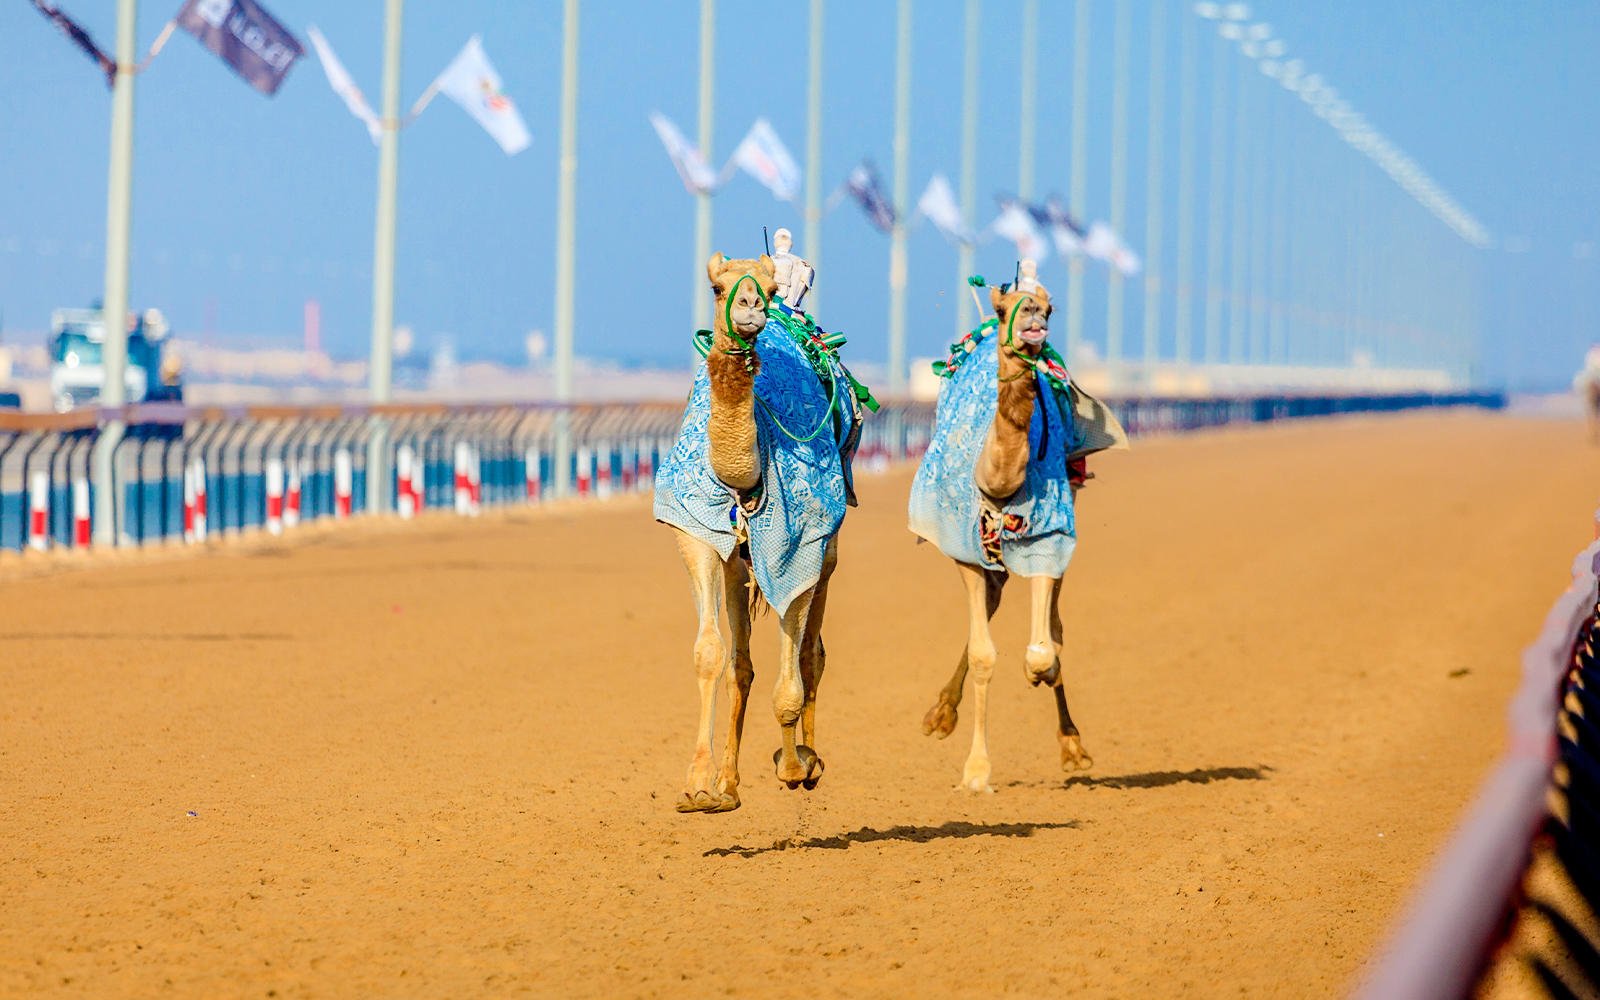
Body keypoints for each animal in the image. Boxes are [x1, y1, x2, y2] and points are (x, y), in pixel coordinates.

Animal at [653, 251, 857, 814]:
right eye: (718, 288)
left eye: (766, 288)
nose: (750, 308)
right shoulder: (697, 531)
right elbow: (709, 655)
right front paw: (699, 785)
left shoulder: (801, 545)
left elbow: (792, 675)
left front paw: (792, 767)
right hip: (736, 560)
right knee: (741, 662)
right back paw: (728, 783)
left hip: (828, 548)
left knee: (812, 652)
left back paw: (808, 759)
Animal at [908, 267, 1124, 792]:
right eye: (1008, 307)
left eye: (1050, 307)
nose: (1033, 315)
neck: (999, 484)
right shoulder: (964, 549)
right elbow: (984, 654)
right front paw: (975, 771)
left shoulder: (1049, 540)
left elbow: (1045, 649)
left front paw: (1043, 683)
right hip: (987, 559)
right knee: (985, 614)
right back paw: (940, 716)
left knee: (1052, 628)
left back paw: (1071, 744)